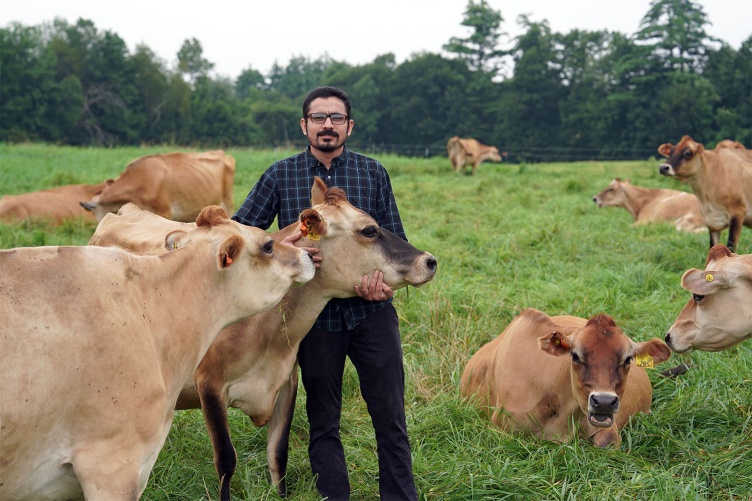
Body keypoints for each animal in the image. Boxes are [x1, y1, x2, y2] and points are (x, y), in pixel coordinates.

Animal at [0, 205, 314, 498]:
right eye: (268, 245)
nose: (309, 255)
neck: (151, 306)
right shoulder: (111, 465)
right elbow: (226, 458)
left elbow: (277, 451)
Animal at [88, 178, 438, 498]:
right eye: (369, 230)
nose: (430, 260)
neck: (269, 333)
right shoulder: (209, 384)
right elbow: (226, 460)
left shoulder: (287, 382)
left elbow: (278, 454)